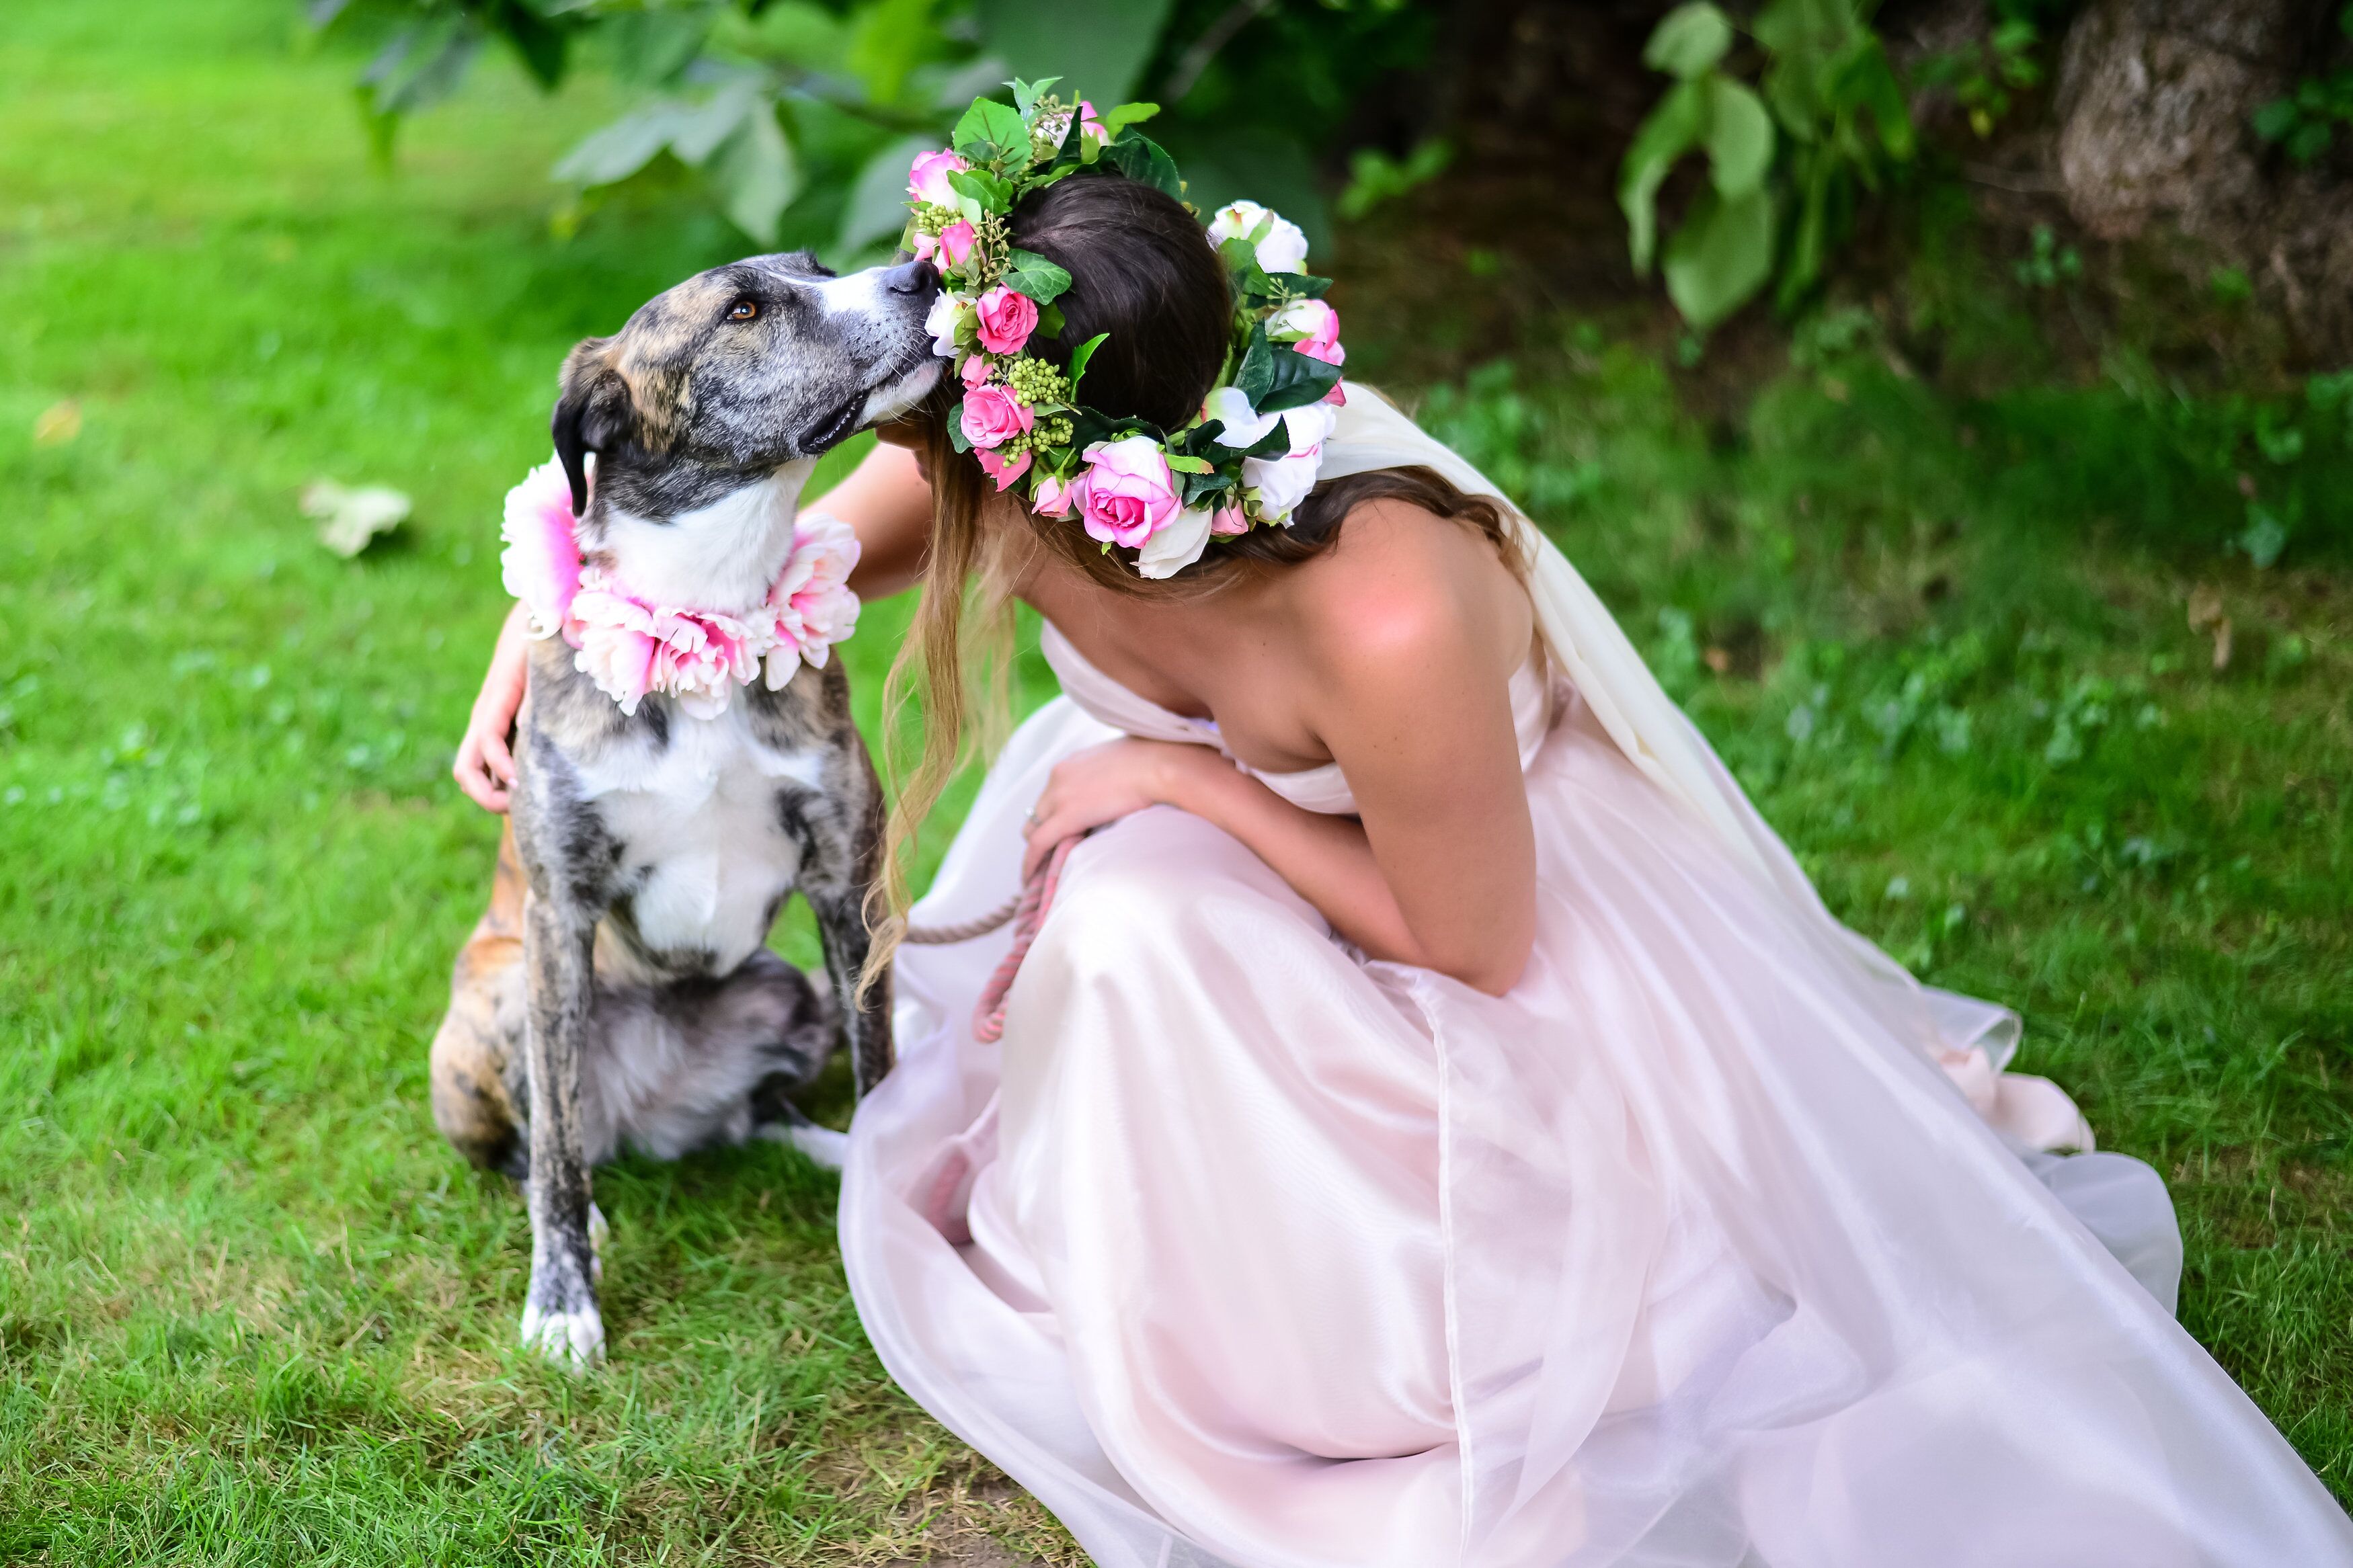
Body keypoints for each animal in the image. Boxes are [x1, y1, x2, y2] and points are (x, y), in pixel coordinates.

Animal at [428, 251, 941, 1363]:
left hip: (787, 991)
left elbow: (882, 1068)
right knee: (544, 1140)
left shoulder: (846, 886)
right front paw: (563, 1302)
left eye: (821, 269)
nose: (922, 271)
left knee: (758, 1112)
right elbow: (555, 1150)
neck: (705, 605)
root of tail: (654, 1120)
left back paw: (823, 1149)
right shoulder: (560, 915)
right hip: (498, 999)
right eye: (743, 308)